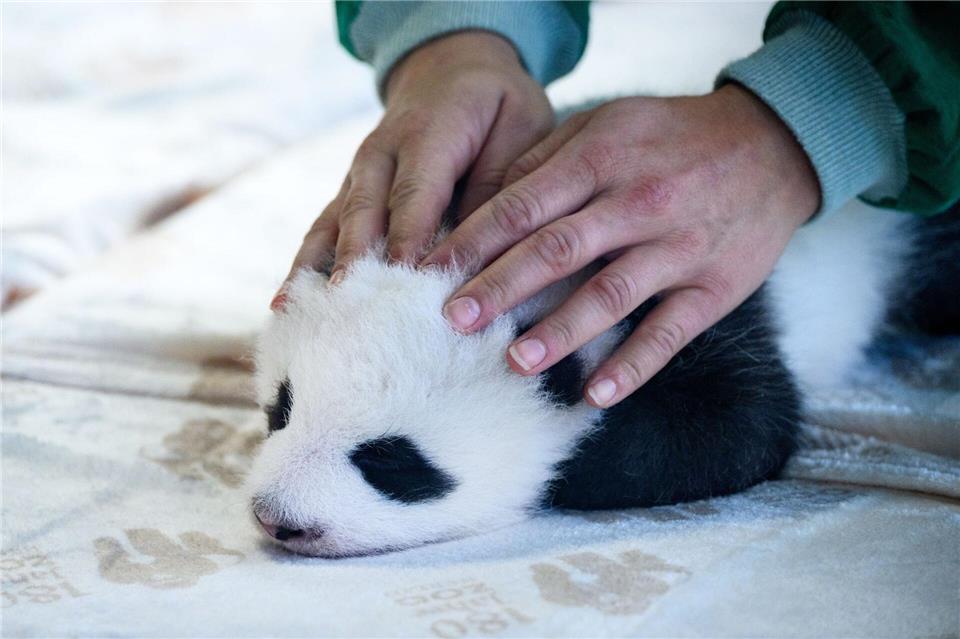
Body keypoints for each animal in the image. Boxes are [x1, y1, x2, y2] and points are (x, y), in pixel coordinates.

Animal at [247, 194, 959, 558]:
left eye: (392, 461)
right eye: (280, 408)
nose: (277, 519)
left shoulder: (696, 296)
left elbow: (748, 423)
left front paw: (573, 466)